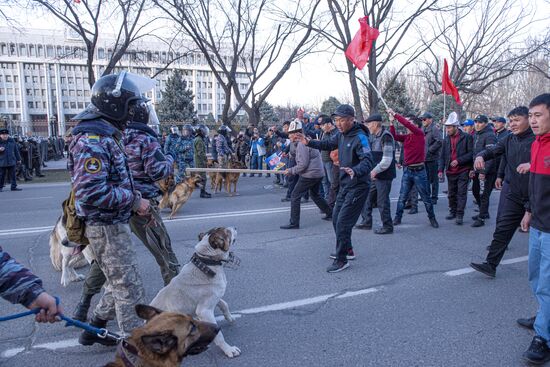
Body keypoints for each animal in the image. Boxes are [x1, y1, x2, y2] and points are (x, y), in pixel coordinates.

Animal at [150, 227, 240, 360]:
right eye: (227, 232)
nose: (235, 228)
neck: (207, 264)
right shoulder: (204, 311)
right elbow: (219, 335)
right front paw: (228, 349)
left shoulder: (215, 297)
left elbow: (224, 304)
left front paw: (229, 317)